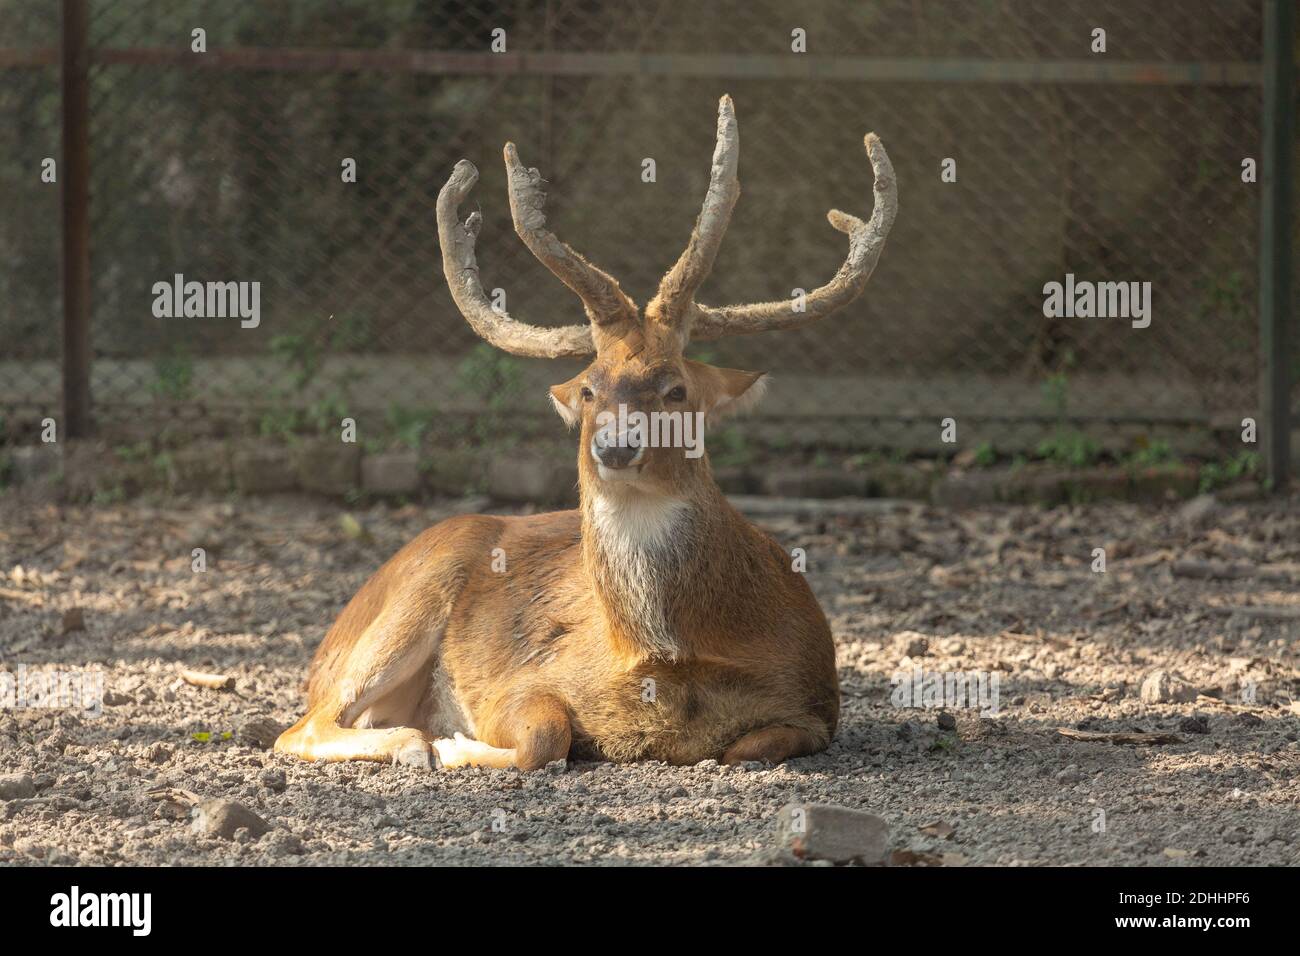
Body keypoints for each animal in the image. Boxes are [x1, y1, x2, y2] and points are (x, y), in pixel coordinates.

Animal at [276, 95, 894, 770]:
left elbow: (749, 747)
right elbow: (542, 736)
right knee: (300, 727)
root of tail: (322, 651)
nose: (616, 446)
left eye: (675, 389)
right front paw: (456, 742)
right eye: (591, 389)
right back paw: (414, 742)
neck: (667, 658)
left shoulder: (814, 701)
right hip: (411, 598)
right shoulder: (521, 679)